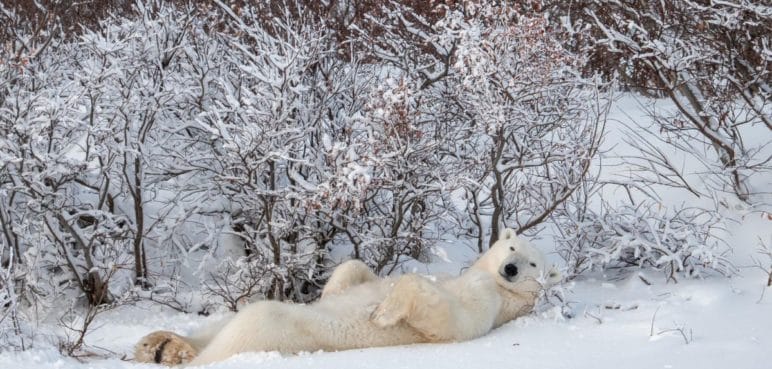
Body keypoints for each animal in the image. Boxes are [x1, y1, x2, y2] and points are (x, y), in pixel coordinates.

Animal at [136, 227, 556, 366]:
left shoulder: (489, 301)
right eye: (512, 247)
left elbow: (452, 318)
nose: (511, 269)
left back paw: (177, 354)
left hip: (279, 329)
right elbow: (355, 271)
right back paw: (159, 343)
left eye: (534, 263)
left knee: (248, 323)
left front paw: (382, 314)